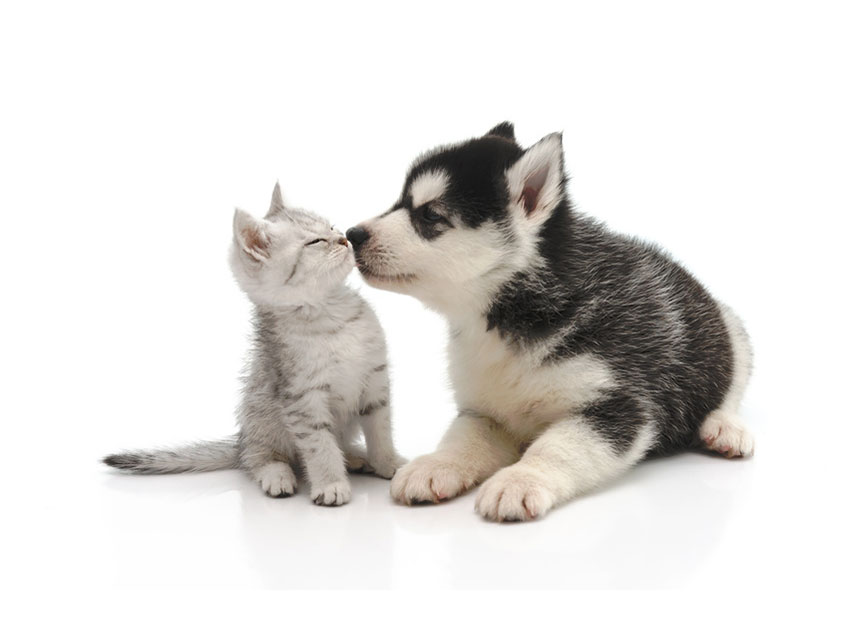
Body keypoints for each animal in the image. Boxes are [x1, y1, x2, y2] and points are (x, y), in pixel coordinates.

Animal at [103, 184, 404, 506]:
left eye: (332, 227)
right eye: (316, 241)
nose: (345, 238)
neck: (332, 313)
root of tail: (241, 441)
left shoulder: (375, 381)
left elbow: (381, 431)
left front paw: (389, 463)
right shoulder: (302, 399)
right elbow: (319, 445)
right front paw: (331, 484)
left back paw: (356, 457)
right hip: (262, 418)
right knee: (259, 459)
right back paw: (278, 475)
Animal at [348, 124, 752, 520]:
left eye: (430, 216)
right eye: (400, 202)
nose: (353, 235)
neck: (509, 315)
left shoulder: (619, 403)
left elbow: (558, 446)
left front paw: (520, 480)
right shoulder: (484, 410)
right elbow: (462, 437)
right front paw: (435, 465)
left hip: (730, 331)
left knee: (731, 387)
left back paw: (724, 427)